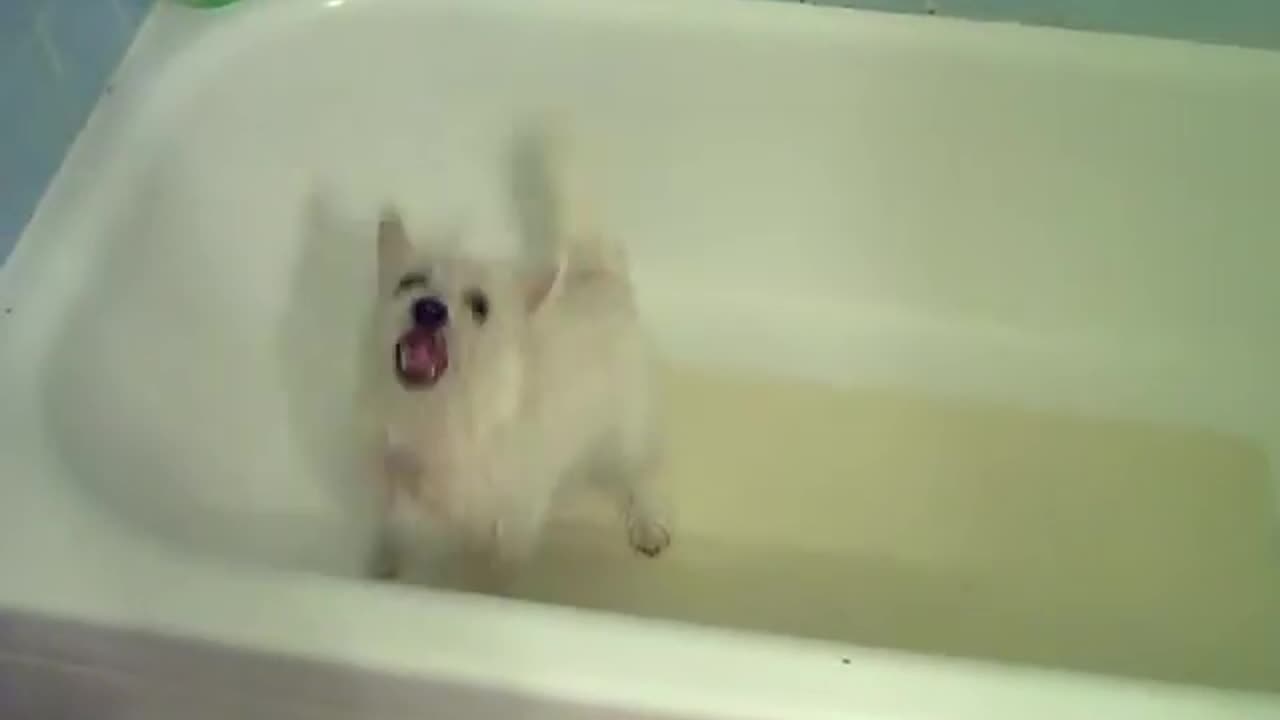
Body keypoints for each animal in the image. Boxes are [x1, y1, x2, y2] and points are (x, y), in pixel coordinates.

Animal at [371, 131, 670, 586]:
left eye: (480, 306)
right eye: (410, 282)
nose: (429, 309)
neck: (439, 416)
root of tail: (599, 276)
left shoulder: (513, 516)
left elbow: (503, 560)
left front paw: (491, 590)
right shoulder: (399, 489)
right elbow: (397, 532)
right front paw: (384, 565)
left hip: (628, 430)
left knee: (639, 473)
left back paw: (646, 523)